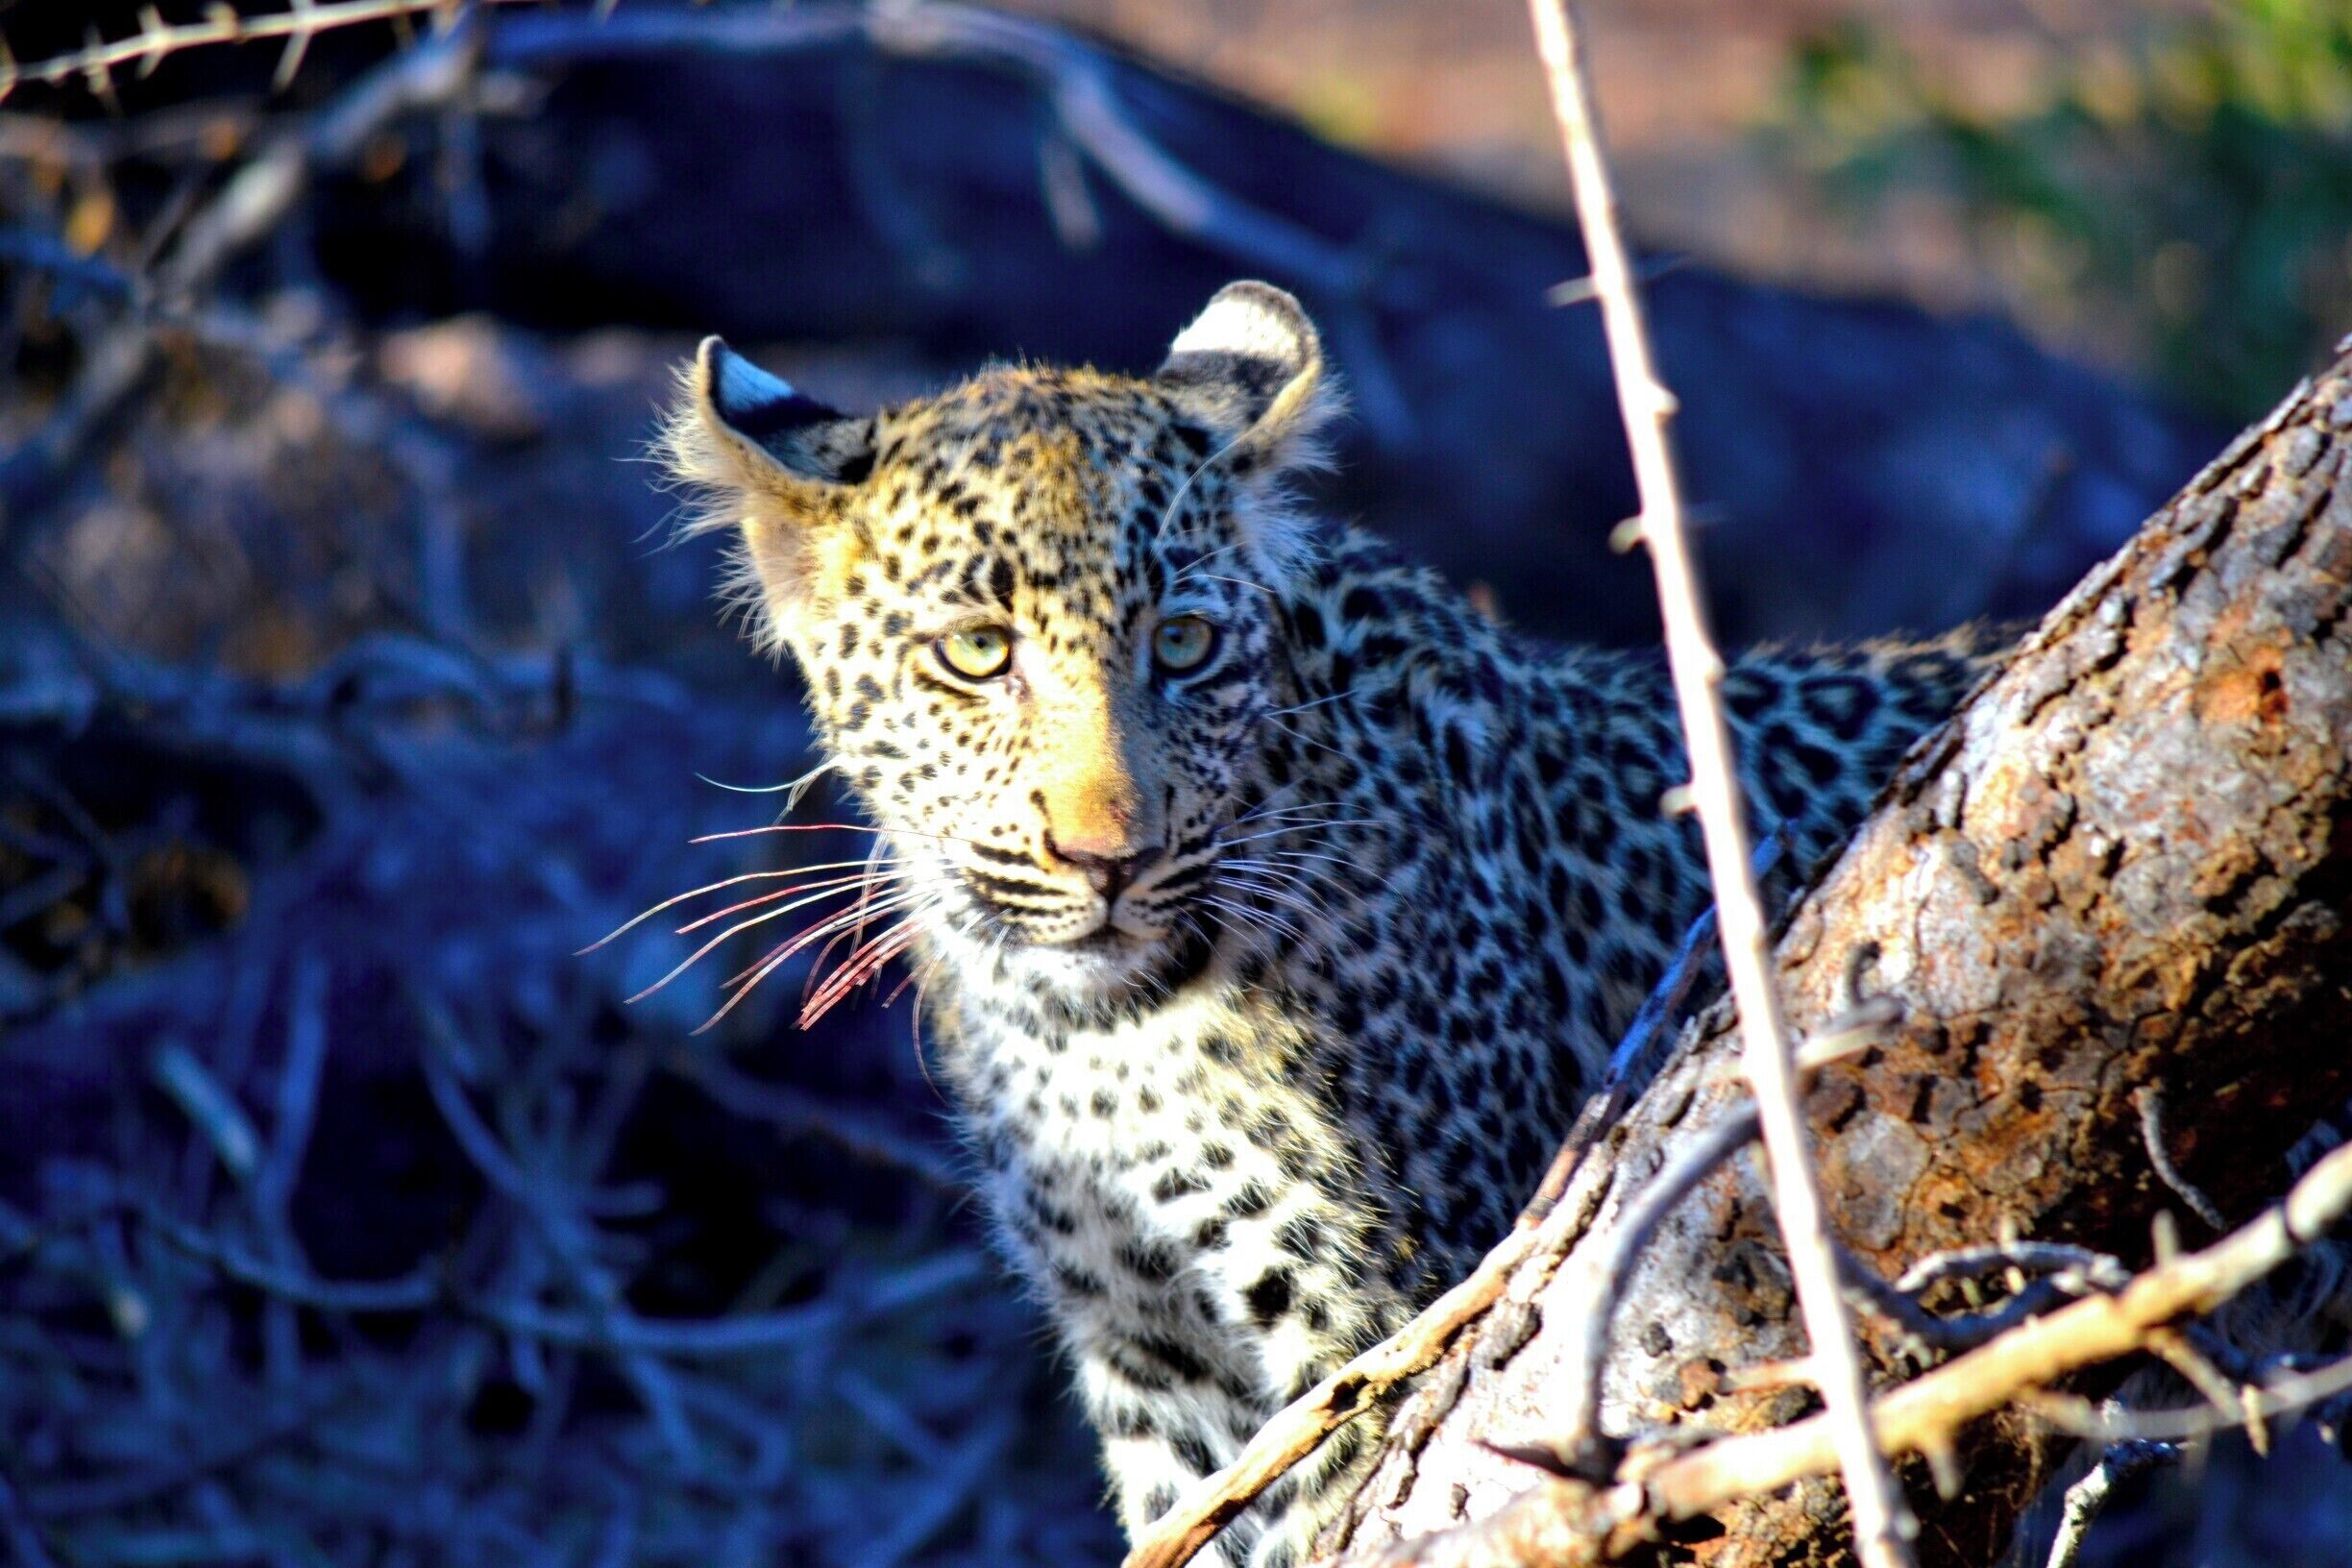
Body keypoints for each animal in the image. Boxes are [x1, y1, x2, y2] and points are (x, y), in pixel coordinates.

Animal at [658, 282, 1994, 1567]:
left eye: (1184, 643)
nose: (1108, 859)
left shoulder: (1383, 1316)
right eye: (979, 654)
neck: (1085, 1037)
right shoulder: (1152, 1357)